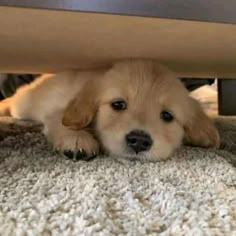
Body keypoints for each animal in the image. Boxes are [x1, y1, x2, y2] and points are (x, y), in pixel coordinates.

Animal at [0, 60, 219, 161]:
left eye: (167, 116)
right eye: (118, 104)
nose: (139, 141)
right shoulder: (57, 109)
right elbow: (61, 120)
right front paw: (77, 139)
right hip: (25, 102)